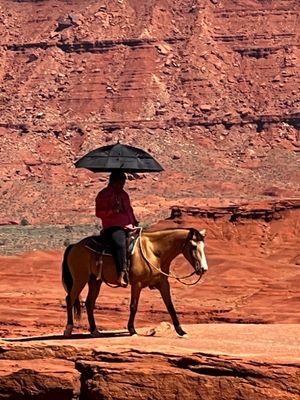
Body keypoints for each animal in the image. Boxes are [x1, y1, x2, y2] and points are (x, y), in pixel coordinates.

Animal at [61, 227, 207, 336]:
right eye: (193, 246)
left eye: (203, 247)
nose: (203, 269)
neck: (154, 252)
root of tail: (74, 246)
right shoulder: (137, 284)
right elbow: (133, 306)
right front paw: (132, 329)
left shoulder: (163, 284)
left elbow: (170, 306)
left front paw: (181, 330)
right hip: (80, 278)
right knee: (70, 298)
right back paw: (68, 329)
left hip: (95, 281)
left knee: (89, 302)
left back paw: (94, 330)